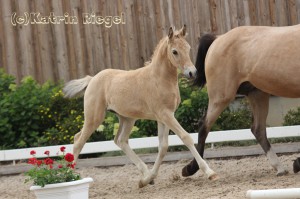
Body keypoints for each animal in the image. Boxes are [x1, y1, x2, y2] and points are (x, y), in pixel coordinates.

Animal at [63, 25, 218, 187]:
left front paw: (148, 179)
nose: (192, 72)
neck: (159, 79)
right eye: (174, 51)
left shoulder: (165, 117)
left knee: (120, 140)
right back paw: (70, 176)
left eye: (188, 48)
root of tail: (92, 79)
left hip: (127, 118)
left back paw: (145, 175)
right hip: (94, 117)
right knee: (78, 141)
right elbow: (186, 137)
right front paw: (210, 173)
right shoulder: (165, 115)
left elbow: (163, 147)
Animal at [182, 24, 300, 177]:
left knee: (258, 129)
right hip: (222, 96)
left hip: (257, 94)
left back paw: (280, 168)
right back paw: (192, 169)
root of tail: (218, 38)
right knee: (204, 126)